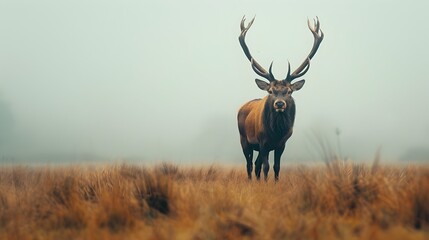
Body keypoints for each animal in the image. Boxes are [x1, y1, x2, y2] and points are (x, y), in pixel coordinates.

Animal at [236, 16, 322, 181]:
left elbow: (276, 167)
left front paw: (274, 183)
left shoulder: (281, 144)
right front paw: (265, 184)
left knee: (255, 164)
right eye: (271, 91)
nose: (280, 103)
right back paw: (250, 181)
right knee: (249, 165)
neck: (276, 133)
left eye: (289, 91)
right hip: (244, 139)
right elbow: (266, 167)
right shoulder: (262, 142)